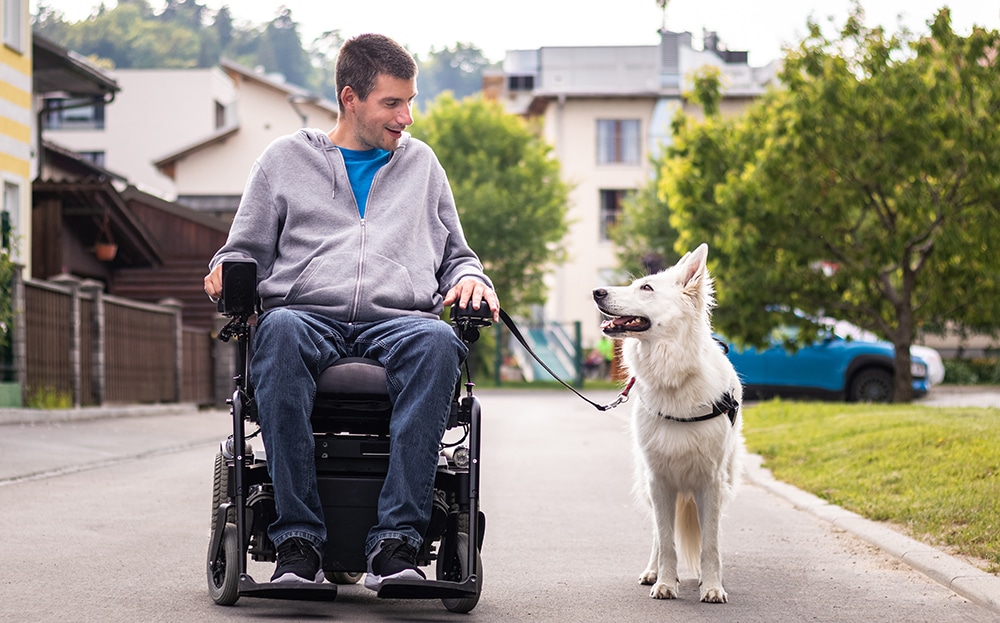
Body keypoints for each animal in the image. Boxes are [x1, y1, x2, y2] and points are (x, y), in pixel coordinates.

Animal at [592, 244, 744, 604]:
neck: (673, 375)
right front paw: (665, 582)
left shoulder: (711, 483)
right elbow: (665, 540)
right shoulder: (659, 481)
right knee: (659, 537)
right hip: (652, 487)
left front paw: (712, 585)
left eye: (646, 288)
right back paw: (653, 571)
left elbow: (710, 544)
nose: (596, 292)